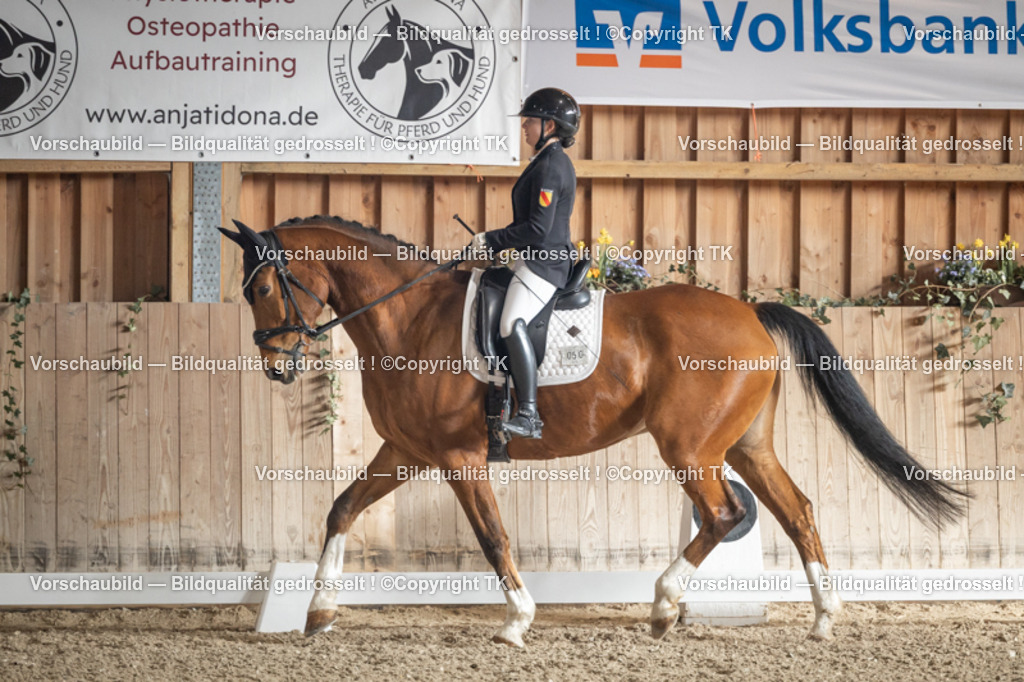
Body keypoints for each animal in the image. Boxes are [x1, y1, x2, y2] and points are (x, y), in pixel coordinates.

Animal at [219, 215, 965, 647]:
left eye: (263, 289)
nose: (275, 364)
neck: (410, 317)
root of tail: (751, 313)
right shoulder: (406, 451)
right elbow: (341, 509)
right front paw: (319, 612)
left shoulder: (459, 458)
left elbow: (492, 536)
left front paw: (518, 620)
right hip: (745, 447)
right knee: (797, 510)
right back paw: (823, 617)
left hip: (691, 449)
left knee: (724, 515)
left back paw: (664, 606)